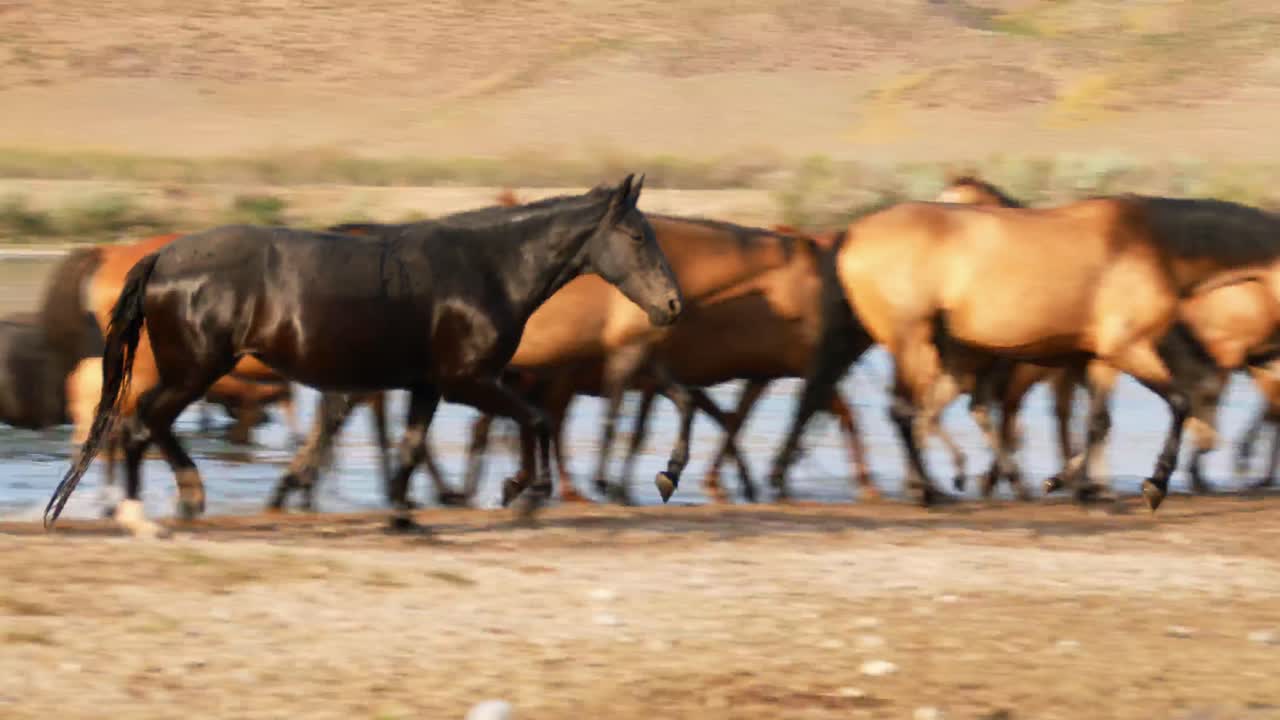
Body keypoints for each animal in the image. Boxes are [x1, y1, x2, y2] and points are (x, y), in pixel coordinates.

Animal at [44, 174, 682, 537]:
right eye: (636, 236)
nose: (673, 304)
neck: (487, 270)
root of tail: (164, 257)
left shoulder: (428, 385)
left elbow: (411, 448)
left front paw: (402, 514)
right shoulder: (470, 380)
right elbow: (537, 418)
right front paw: (529, 497)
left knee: (141, 425)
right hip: (194, 369)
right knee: (140, 425)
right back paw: (155, 509)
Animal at [767, 188, 1280, 512]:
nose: (1268, 355)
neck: (1151, 245)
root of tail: (852, 233)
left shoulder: (1100, 358)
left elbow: (1098, 422)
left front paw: (1073, 485)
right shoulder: (1127, 347)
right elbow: (1177, 401)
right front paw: (1153, 486)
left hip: (879, 341)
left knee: (830, 397)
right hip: (909, 340)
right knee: (901, 411)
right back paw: (928, 493)